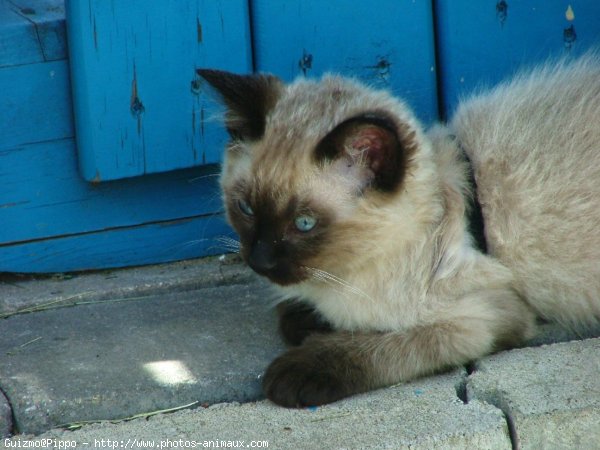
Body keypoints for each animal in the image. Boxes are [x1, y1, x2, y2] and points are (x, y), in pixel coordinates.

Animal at [198, 52, 600, 408]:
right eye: (246, 209)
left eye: (304, 223)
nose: (259, 260)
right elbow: (302, 315)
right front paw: (309, 319)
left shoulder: (484, 316)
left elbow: (389, 343)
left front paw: (299, 368)